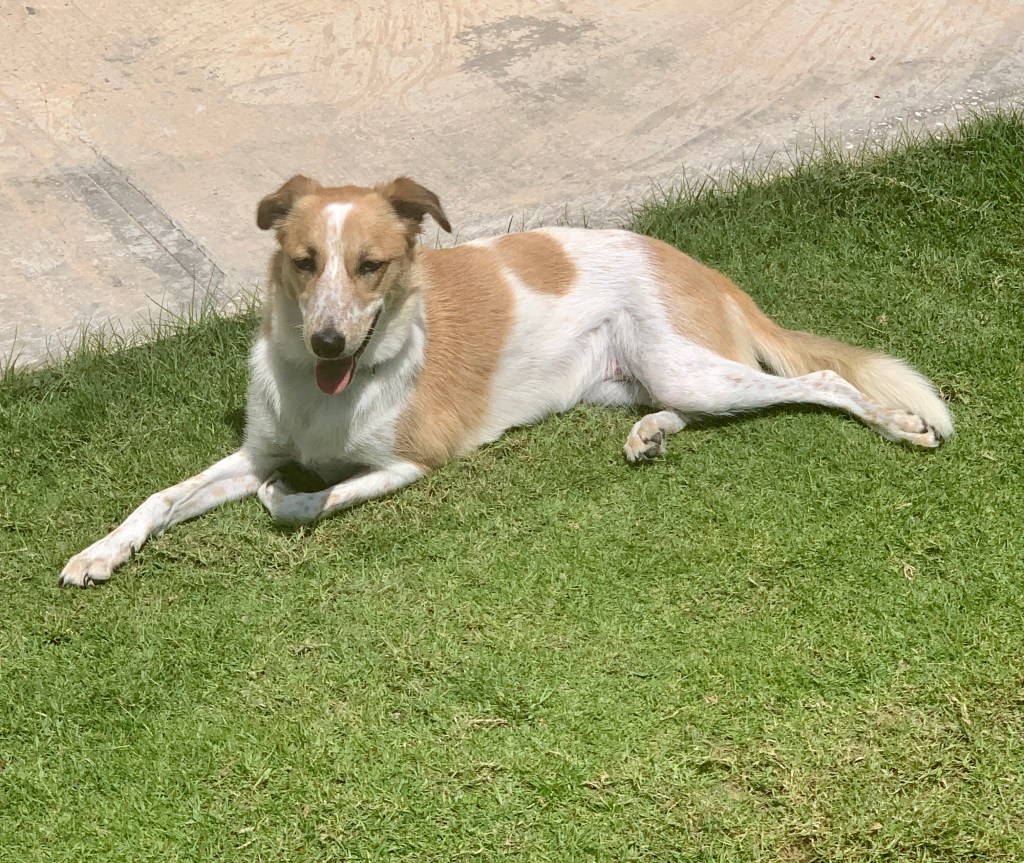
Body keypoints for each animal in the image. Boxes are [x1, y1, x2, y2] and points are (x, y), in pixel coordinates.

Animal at [58, 175, 953, 586]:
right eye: (305, 262)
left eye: (372, 266)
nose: (326, 338)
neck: (327, 391)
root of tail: (704, 269)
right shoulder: (257, 450)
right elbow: (160, 499)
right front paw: (100, 552)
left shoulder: (412, 463)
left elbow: (309, 500)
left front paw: (289, 500)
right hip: (649, 376)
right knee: (691, 408)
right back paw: (649, 434)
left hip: (687, 362)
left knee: (826, 380)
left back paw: (895, 423)